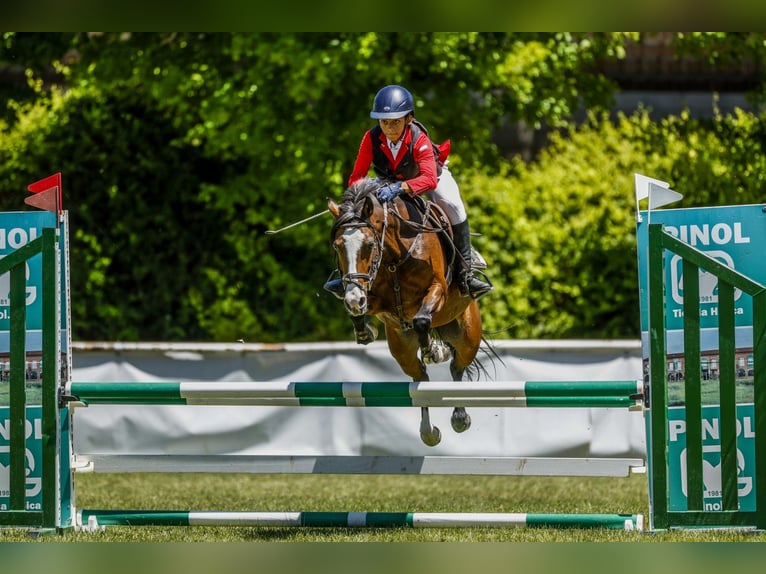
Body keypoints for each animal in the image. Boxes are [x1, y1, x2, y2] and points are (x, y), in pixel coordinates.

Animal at [328, 178, 484, 448]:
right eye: (338, 247)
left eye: (370, 245)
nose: (353, 299)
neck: (395, 252)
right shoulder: (377, 299)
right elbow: (361, 310)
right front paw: (365, 330)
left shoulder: (438, 289)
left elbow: (421, 319)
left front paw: (433, 350)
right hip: (402, 348)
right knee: (420, 379)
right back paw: (429, 432)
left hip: (468, 336)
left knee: (456, 366)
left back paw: (459, 416)